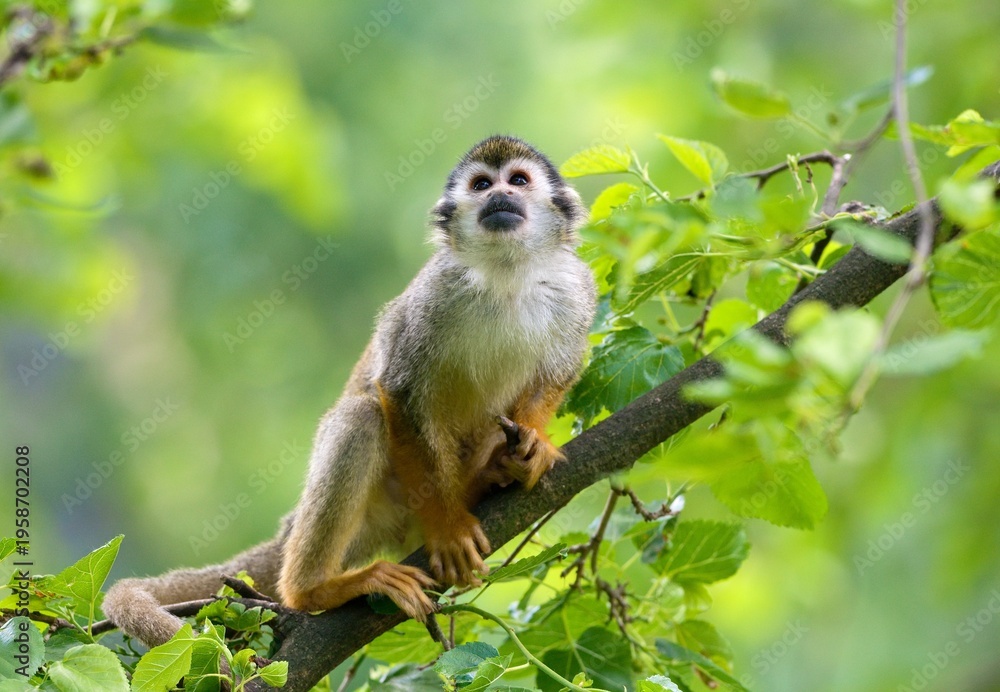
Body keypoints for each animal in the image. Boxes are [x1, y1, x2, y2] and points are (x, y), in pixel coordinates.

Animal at [103, 135, 597, 648]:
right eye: (482, 185)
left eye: (518, 180)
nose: (500, 196)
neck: (506, 271)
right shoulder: (433, 293)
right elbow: (398, 390)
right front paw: (447, 529)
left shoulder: (577, 289)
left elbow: (558, 373)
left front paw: (532, 445)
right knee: (364, 416)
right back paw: (315, 588)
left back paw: (490, 475)